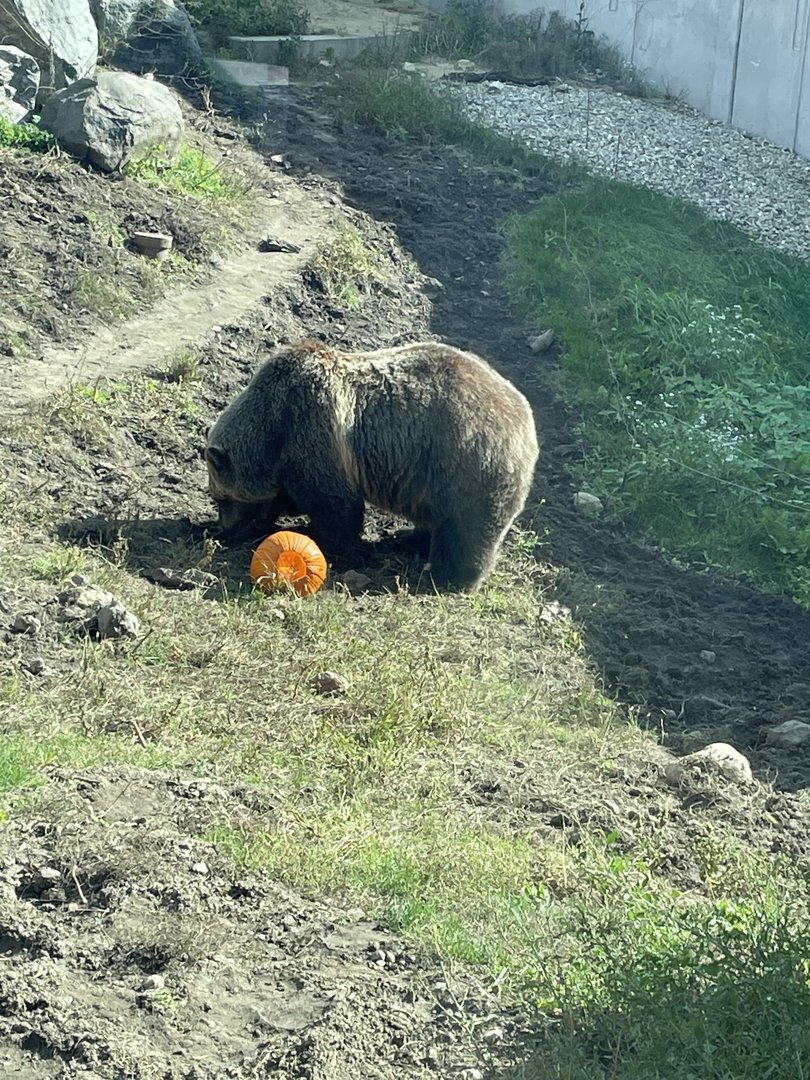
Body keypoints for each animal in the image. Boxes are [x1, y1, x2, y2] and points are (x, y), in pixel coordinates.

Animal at [204, 339, 539, 592]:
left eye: (220, 497)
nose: (222, 527)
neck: (272, 428)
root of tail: (524, 415)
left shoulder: (313, 429)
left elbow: (335, 504)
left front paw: (331, 543)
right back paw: (407, 539)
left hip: (467, 464)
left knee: (467, 529)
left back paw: (449, 577)